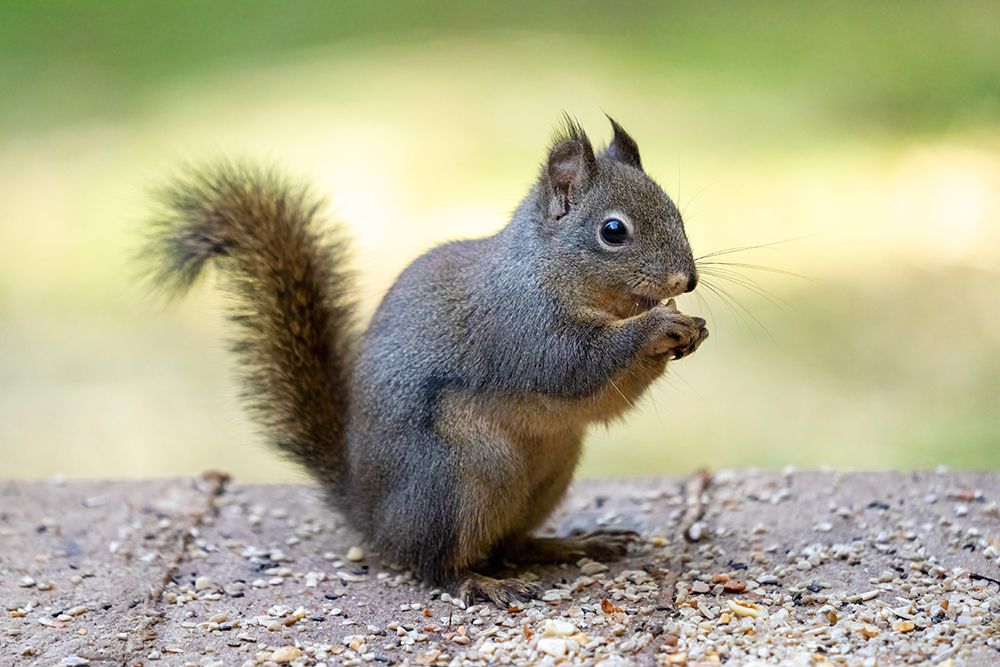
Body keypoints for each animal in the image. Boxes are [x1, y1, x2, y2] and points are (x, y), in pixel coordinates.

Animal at [144, 116, 707, 606]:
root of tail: (371, 516)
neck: (549, 270)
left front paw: (690, 328)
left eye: (677, 211)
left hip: (549, 472)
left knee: (512, 544)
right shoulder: (522, 327)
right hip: (456, 482)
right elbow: (575, 364)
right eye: (613, 231)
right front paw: (660, 326)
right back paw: (481, 582)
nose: (686, 281)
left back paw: (573, 543)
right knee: (434, 563)